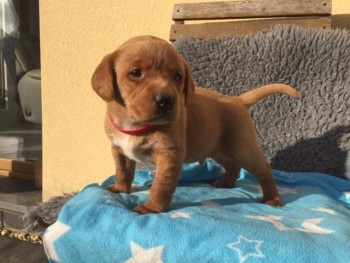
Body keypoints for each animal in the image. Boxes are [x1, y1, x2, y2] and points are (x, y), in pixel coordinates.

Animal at [91, 36, 300, 216]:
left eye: (177, 76)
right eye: (135, 73)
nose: (166, 101)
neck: (135, 124)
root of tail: (238, 100)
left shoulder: (169, 155)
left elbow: (161, 186)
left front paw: (152, 207)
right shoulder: (119, 150)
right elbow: (123, 172)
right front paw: (120, 189)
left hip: (244, 148)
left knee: (263, 170)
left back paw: (272, 198)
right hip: (218, 149)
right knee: (233, 166)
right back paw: (226, 182)